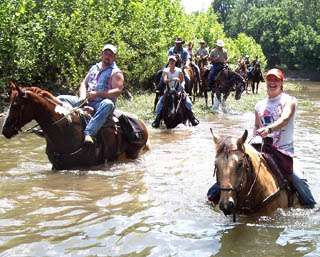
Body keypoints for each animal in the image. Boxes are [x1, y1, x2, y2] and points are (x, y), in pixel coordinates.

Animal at [1, 82, 149, 170]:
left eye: (15, 106)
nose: (5, 130)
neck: (65, 129)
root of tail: (141, 123)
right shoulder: (57, 167)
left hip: (133, 153)